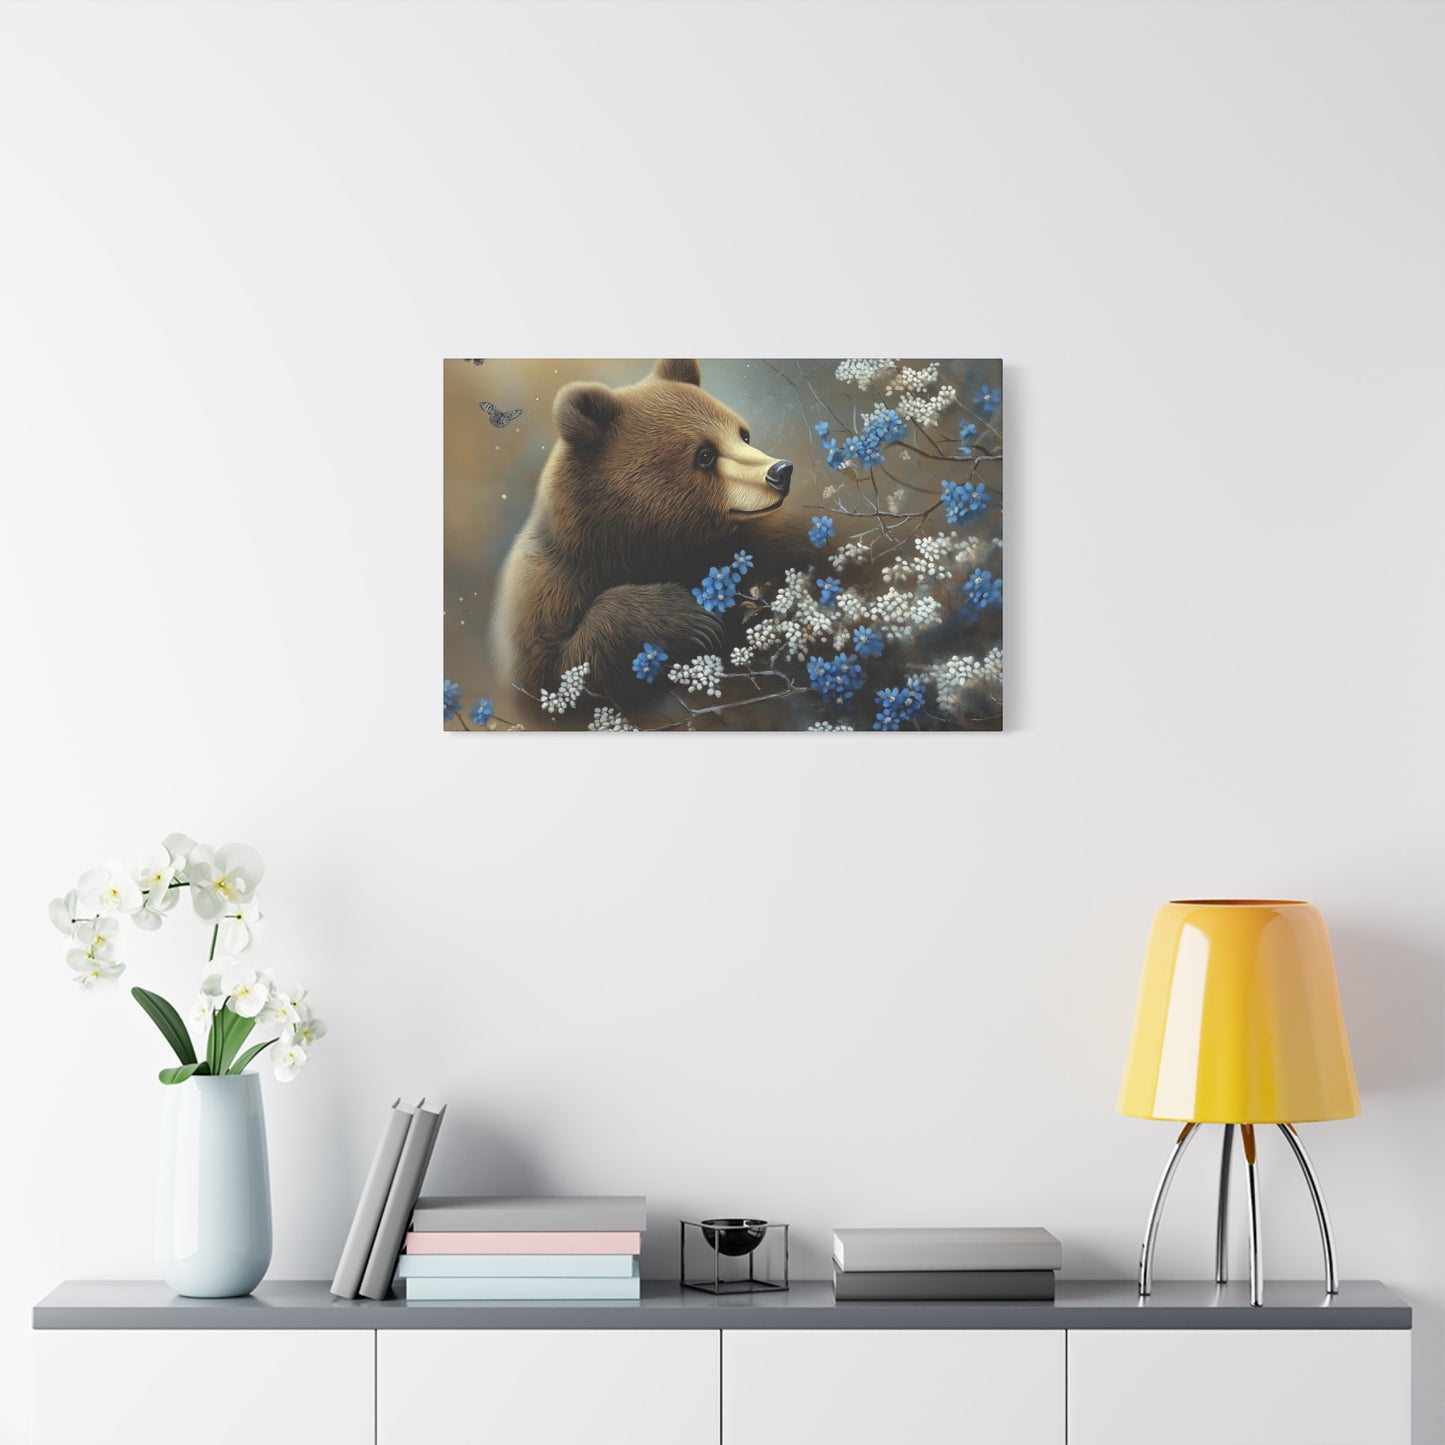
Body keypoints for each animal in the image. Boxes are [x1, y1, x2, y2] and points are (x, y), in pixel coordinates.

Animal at [491, 359, 805, 706]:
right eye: (705, 455)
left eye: (743, 435)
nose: (780, 471)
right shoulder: (548, 586)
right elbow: (552, 672)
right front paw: (690, 617)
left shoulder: (767, 542)